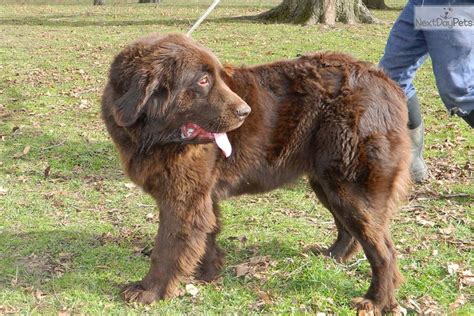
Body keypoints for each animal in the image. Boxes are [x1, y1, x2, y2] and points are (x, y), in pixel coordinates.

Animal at [101, 32, 412, 314]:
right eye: (202, 81)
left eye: (216, 78)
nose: (245, 111)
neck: (153, 136)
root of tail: (387, 84)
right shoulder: (202, 193)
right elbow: (207, 231)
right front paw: (208, 272)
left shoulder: (182, 198)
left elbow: (167, 247)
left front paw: (148, 291)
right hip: (327, 182)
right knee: (348, 229)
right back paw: (332, 257)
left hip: (350, 185)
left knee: (384, 251)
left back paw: (376, 300)